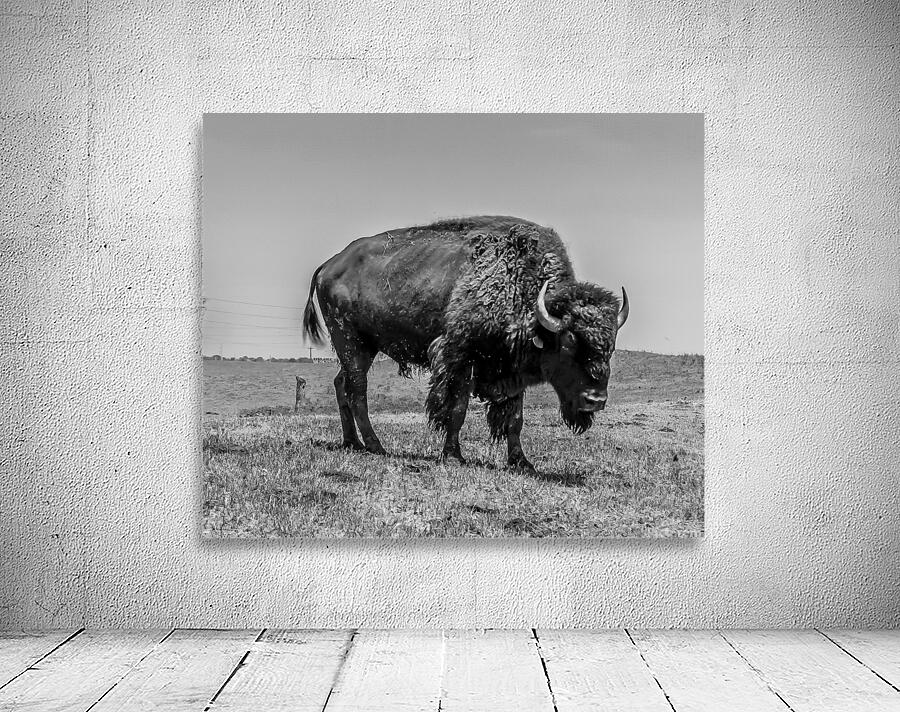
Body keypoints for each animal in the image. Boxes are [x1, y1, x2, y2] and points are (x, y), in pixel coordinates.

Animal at [302, 215, 628, 472]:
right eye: (569, 344)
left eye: (610, 347)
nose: (596, 400)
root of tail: (328, 265)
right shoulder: (460, 357)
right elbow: (456, 409)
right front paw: (453, 456)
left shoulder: (513, 370)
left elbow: (515, 418)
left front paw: (521, 462)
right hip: (351, 341)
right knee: (357, 390)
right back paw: (375, 446)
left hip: (363, 347)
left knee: (342, 383)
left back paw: (352, 443)